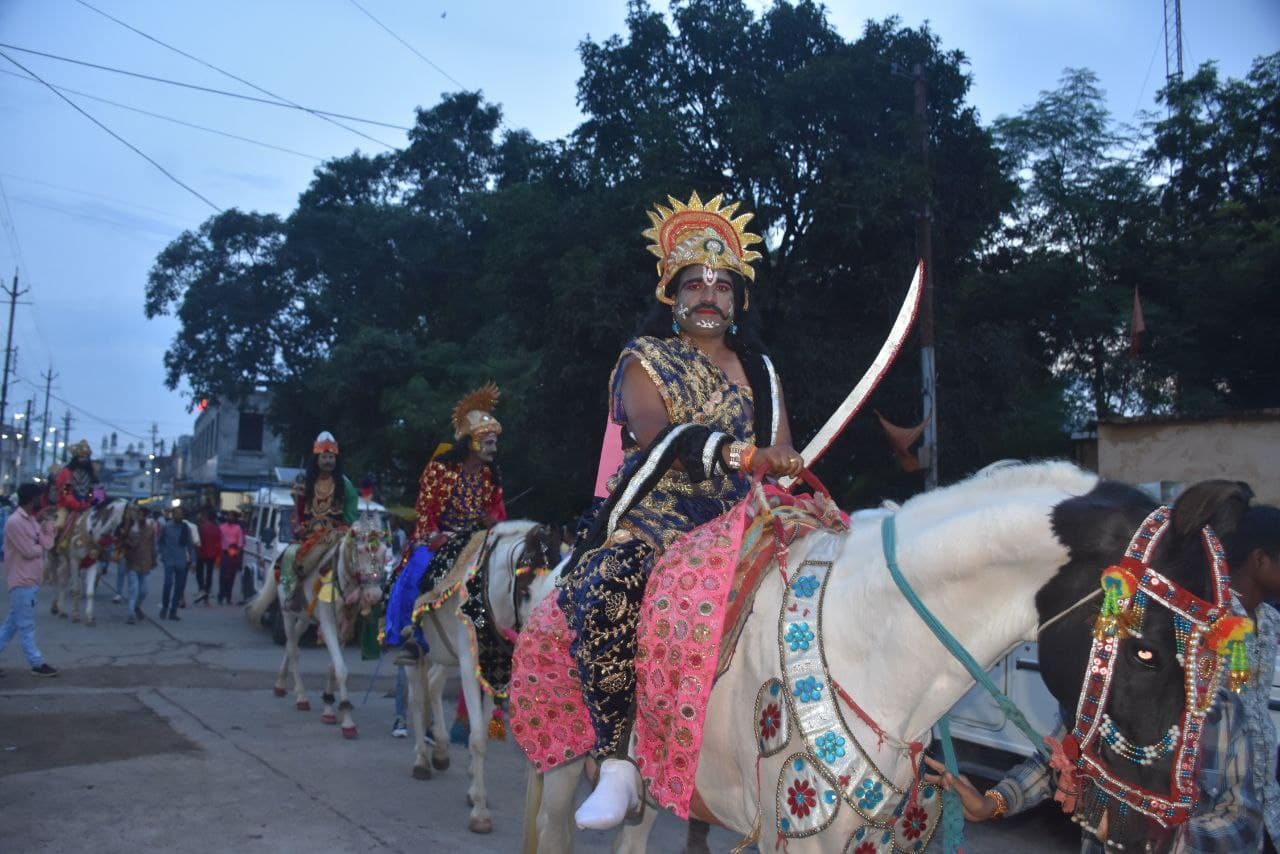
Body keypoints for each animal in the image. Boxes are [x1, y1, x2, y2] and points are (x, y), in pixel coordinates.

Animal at [245, 514, 389, 742]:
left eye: (384, 554)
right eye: (360, 551)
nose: (374, 595)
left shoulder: (344, 625)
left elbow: (333, 666)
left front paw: (329, 707)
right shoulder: (328, 621)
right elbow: (340, 668)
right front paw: (347, 721)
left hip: (305, 618)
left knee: (292, 644)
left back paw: (280, 684)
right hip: (287, 612)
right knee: (292, 648)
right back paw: (301, 697)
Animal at [404, 522, 555, 834]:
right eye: (526, 589)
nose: (540, 640)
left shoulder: (491, 671)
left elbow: (481, 732)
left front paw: (474, 791)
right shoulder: (470, 665)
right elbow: (477, 739)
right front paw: (480, 812)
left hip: (445, 655)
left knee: (434, 684)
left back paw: (440, 750)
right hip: (418, 648)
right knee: (416, 697)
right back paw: (422, 760)